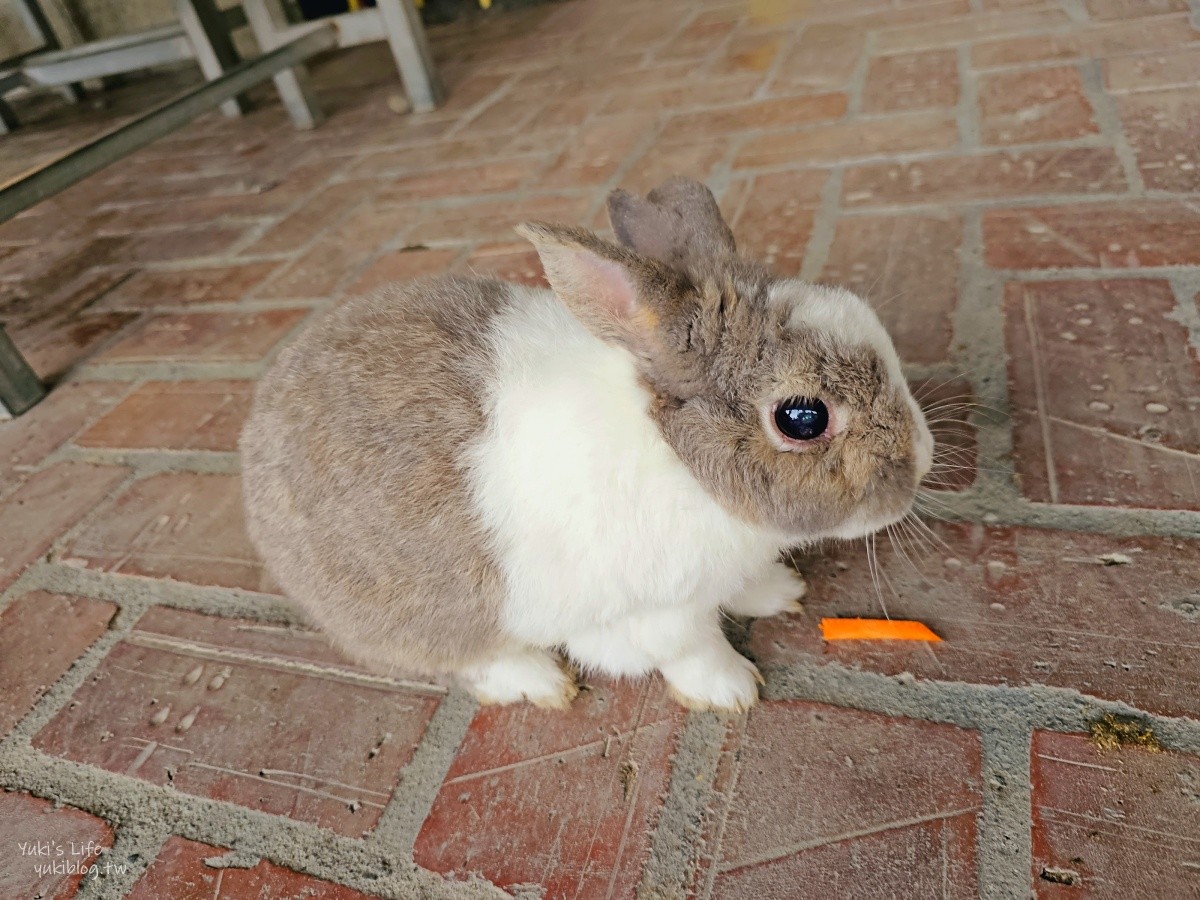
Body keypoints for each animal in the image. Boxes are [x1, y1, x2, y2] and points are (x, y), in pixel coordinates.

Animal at [241, 174, 936, 710]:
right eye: (802, 418)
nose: (923, 460)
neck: (679, 458)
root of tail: (256, 431)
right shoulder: (656, 613)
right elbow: (693, 649)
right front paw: (731, 692)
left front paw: (779, 594)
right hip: (428, 620)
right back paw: (539, 682)